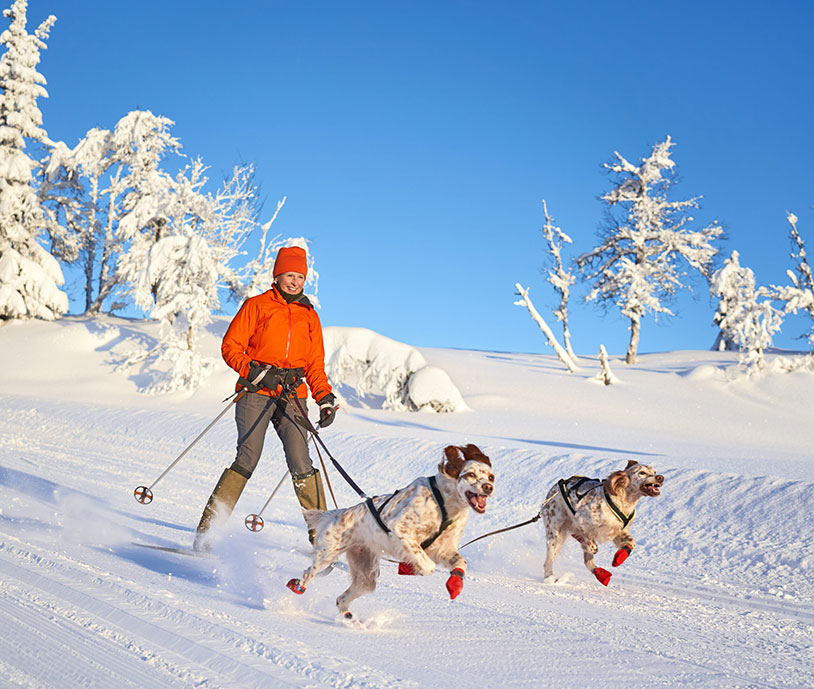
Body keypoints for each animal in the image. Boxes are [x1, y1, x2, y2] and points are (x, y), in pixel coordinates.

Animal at [286, 446, 494, 620]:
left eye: (491, 477)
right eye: (470, 474)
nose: (488, 487)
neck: (445, 501)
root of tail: (339, 513)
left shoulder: (442, 549)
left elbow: (460, 562)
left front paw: (455, 584)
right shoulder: (400, 528)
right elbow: (428, 566)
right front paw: (411, 568)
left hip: (365, 575)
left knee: (341, 599)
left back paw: (352, 621)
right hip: (328, 554)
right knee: (308, 572)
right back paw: (298, 586)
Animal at [540, 456, 664, 584]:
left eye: (654, 472)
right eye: (642, 472)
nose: (660, 477)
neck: (623, 502)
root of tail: (553, 489)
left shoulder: (619, 530)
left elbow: (631, 543)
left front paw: (618, 558)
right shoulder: (580, 518)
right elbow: (588, 539)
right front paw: (593, 546)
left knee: (586, 559)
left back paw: (601, 574)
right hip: (555, 535)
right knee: (548, 561)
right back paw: (549, 578)